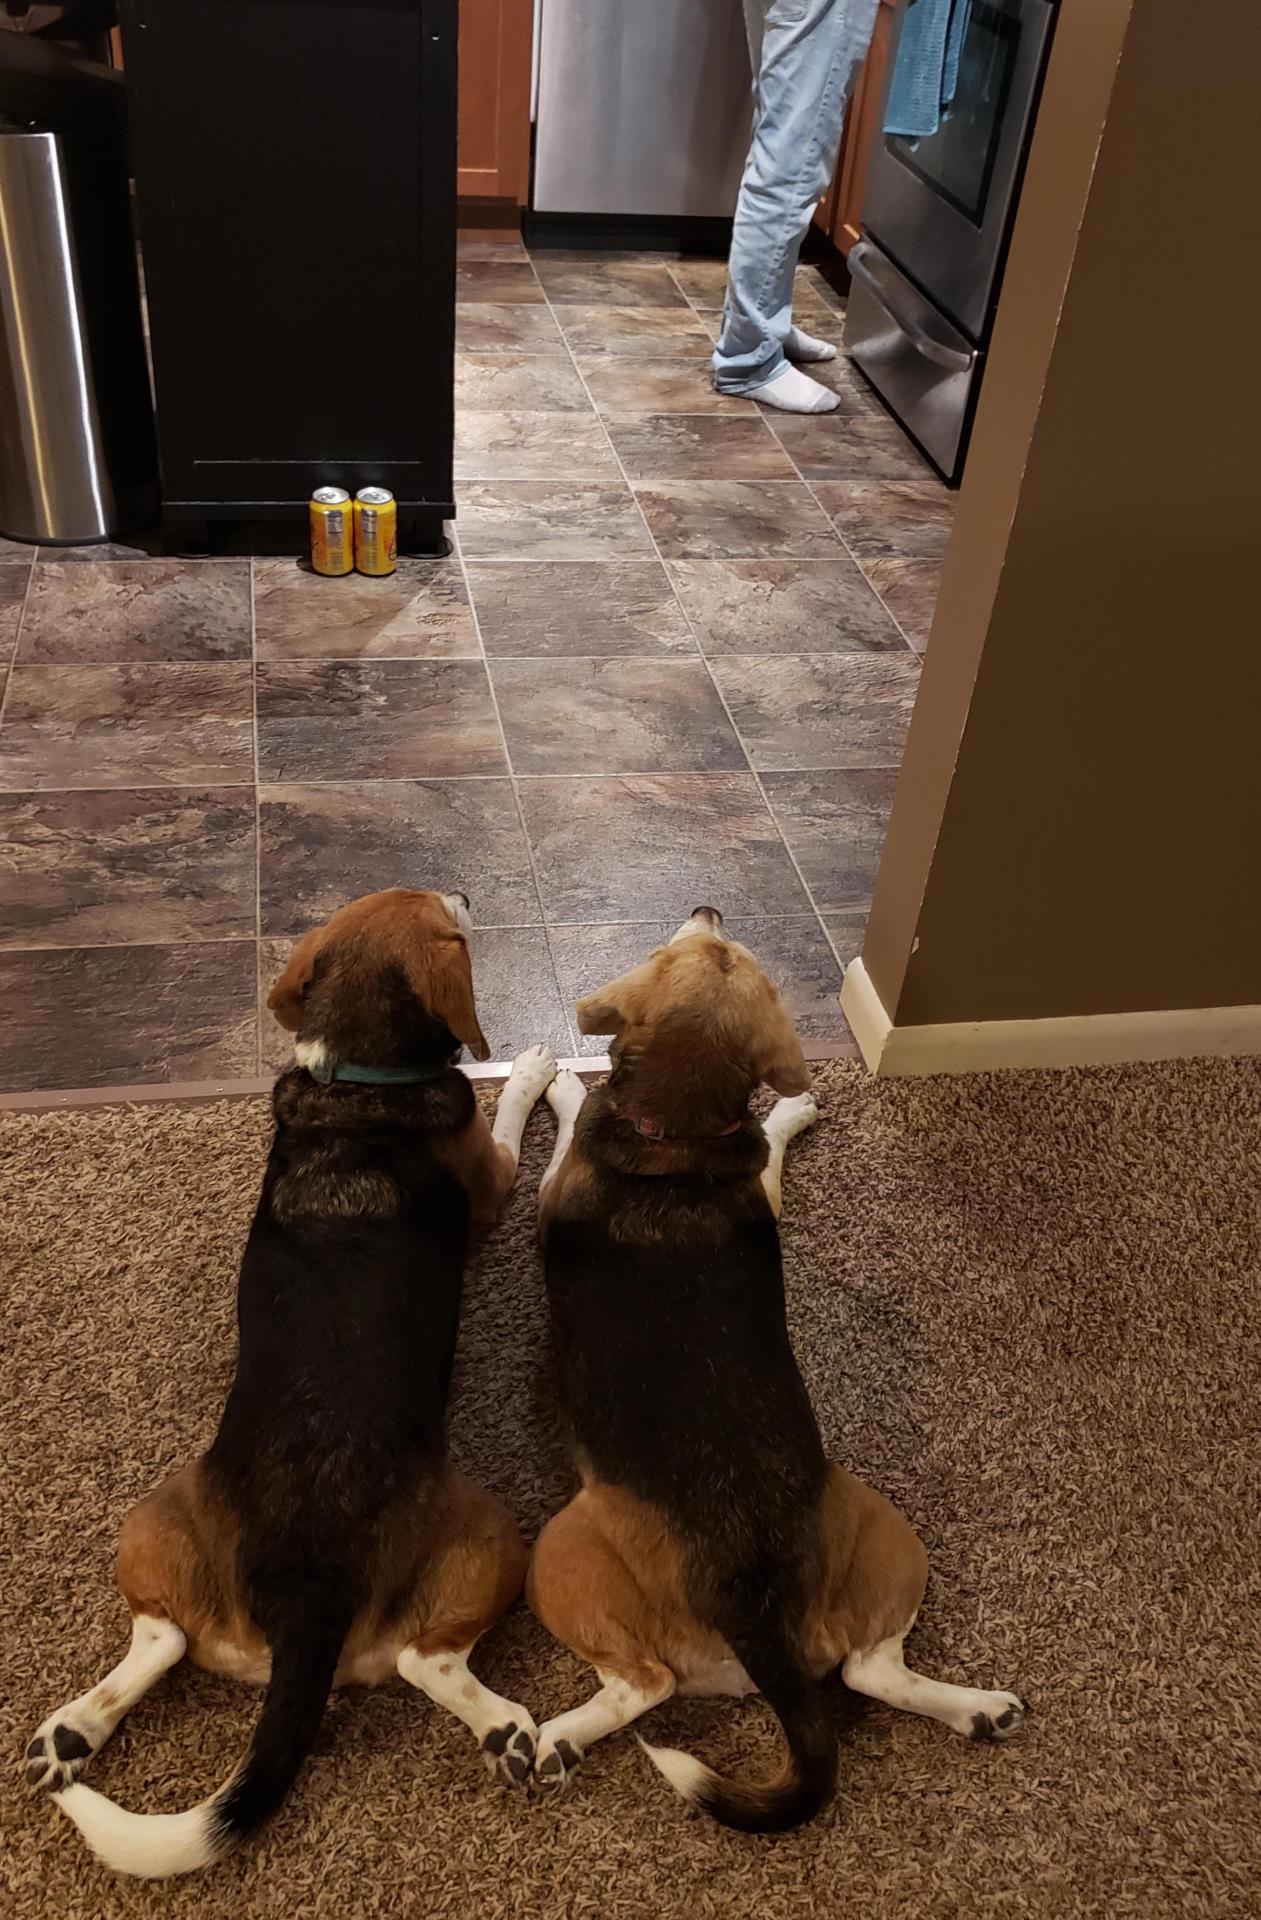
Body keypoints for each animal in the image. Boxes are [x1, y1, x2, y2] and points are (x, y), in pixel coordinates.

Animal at [23, 887, 556, 1873]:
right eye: (440, 908)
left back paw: (72, 1732)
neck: (356, 1086)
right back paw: (503, 1728)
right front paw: (536, 1065)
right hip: (496, 1534)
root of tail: (302, 1595)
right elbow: (508, 1112)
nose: (467, 894)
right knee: (426, 1660)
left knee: (162, 1634)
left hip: (150, 1521)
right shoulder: (495, 1178)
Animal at [522, 906, 1021, 1835]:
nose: (709, 911)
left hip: (559, 1555)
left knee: (644, 1687)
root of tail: (752, 1607)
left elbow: (574, 1112)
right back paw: (978, 1709)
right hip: (880, 1520)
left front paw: (556, 1077)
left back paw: (556, 1740)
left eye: (692, 947)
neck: (674, 1139)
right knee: (866, 1668)